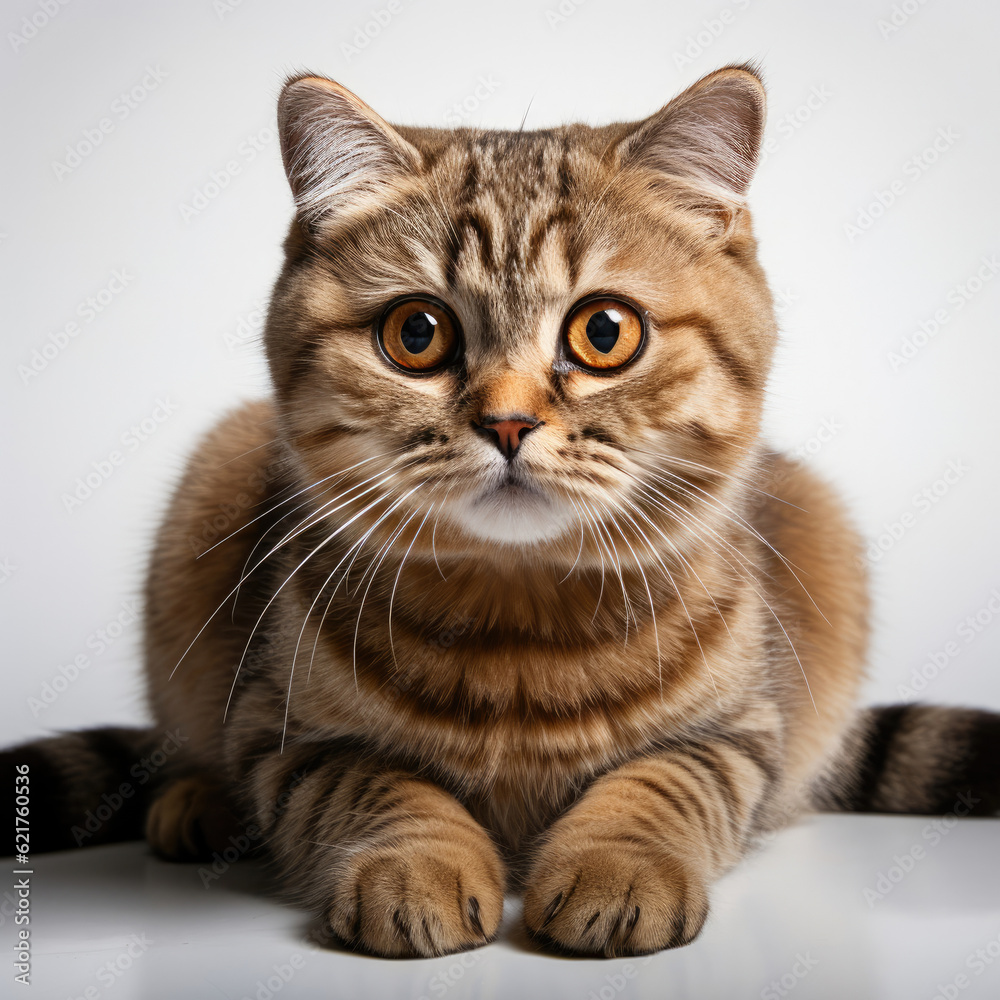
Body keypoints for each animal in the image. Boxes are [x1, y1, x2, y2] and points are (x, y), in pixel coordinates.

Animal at [3, 64, 996, 960]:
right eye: (416, 334)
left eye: (605, 332)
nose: (509, 421)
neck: (521, 624)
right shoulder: (281, 734)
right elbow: (374, 783)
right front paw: (418, 865)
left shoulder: (744, 733)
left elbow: (667, 779)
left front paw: (618, 863)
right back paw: (197, 803)